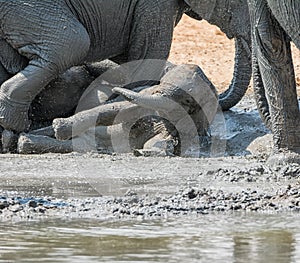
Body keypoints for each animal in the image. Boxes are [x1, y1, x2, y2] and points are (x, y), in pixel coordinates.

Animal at [14, 63, 218, 156]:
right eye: (161, 82)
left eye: (187, 101)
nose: (114, 90)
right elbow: (115, 109)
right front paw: (59, 126)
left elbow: (161, 143)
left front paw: (141, 151)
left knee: (81, 145)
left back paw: (24, 141)